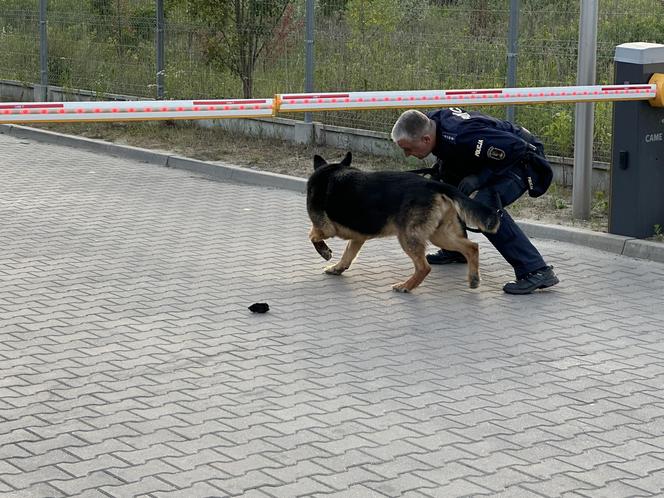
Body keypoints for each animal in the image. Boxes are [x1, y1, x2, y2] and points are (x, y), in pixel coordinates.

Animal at [306, 153, 498, 292]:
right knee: (472, 247)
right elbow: (348, 255)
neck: (331, 171)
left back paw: (406, 286)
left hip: (408, 237)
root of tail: (434, 185)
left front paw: (324, 252)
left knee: (424, 267)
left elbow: (312, 235)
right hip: (439, 235)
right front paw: (338, 268)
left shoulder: (325, 228)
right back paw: (473, 279)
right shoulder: (358, 238)